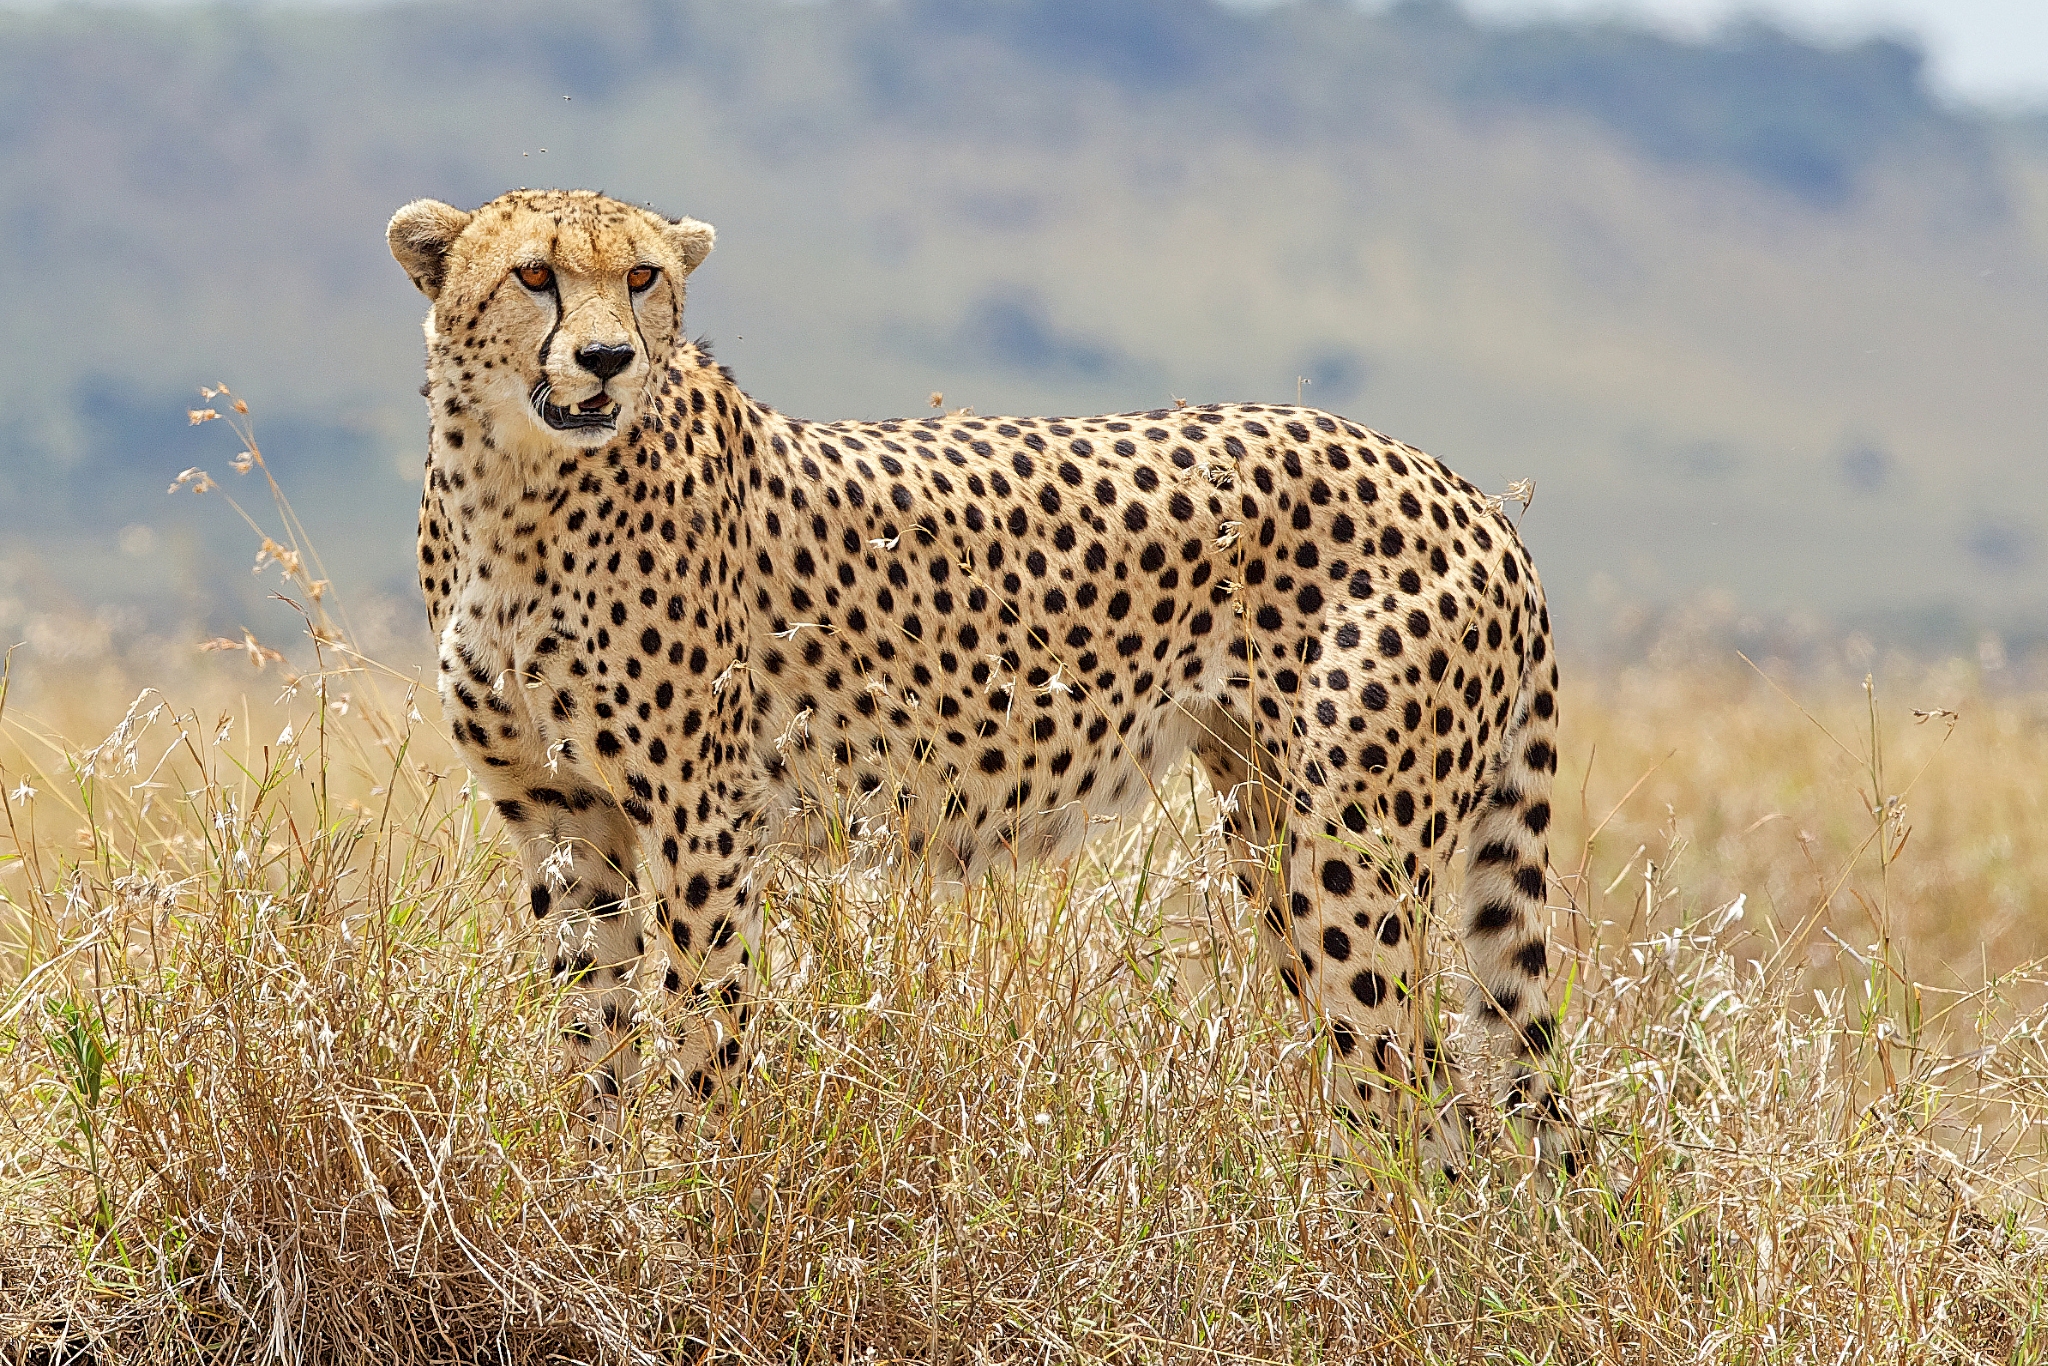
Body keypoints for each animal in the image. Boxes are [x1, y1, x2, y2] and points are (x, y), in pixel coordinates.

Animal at [388, 187, 1579, 1177]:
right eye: (534, 274)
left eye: (641, 277)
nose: (605, 359)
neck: (515, 489)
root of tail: (1467, 491)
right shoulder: (564, 816)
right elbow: (592, 1033)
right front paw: (586, 1193)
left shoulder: (703, 815)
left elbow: (699, 1027)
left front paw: (676, 1206)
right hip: (1271, 821)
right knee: (1423, 1088)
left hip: (1349, 845)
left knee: (1420, 1093)